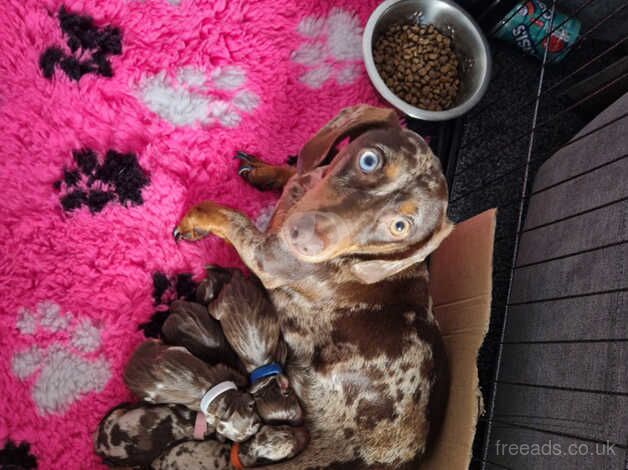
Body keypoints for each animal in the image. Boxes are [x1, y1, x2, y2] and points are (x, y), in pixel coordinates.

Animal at [122, 340, 260, 442]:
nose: (247, 439)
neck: (221, 405)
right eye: (244, 435)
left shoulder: (223, 371)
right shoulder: (223, 370)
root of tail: (128, 368)